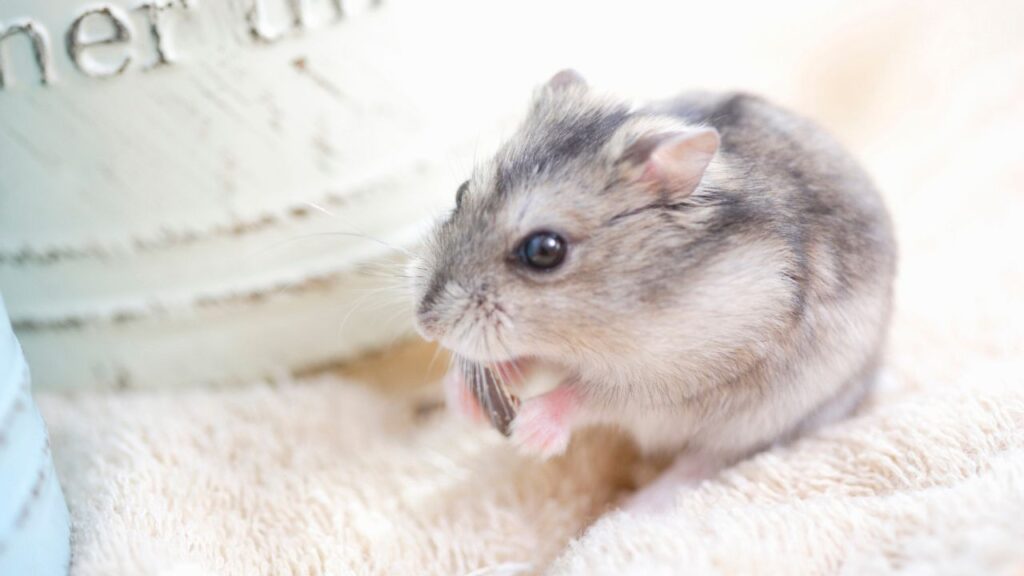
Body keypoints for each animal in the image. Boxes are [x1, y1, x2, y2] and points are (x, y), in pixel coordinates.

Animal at [410, 70, 896, 510]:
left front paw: (530, 433)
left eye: (544, 250)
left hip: (770, 419)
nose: (425, 325)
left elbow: (587, 395)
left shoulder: (673, 380)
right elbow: (525, 359)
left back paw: (629, 508)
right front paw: (461, 396)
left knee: (703, 466)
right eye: (461, 192)